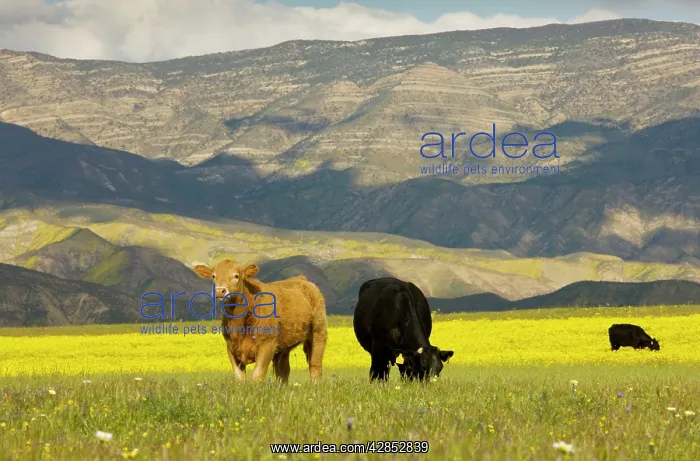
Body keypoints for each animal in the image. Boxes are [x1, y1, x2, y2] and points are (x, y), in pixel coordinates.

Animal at [193, 260, 327, 383]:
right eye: (213, 276)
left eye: (236, 275)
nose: (220, 291)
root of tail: (302, 279)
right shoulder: (231, 347)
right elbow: (239, 377)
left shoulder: (267, 343)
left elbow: (258, 374)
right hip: (283, 345)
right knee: (283, 370)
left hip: (318, 332)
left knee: (315, 366)